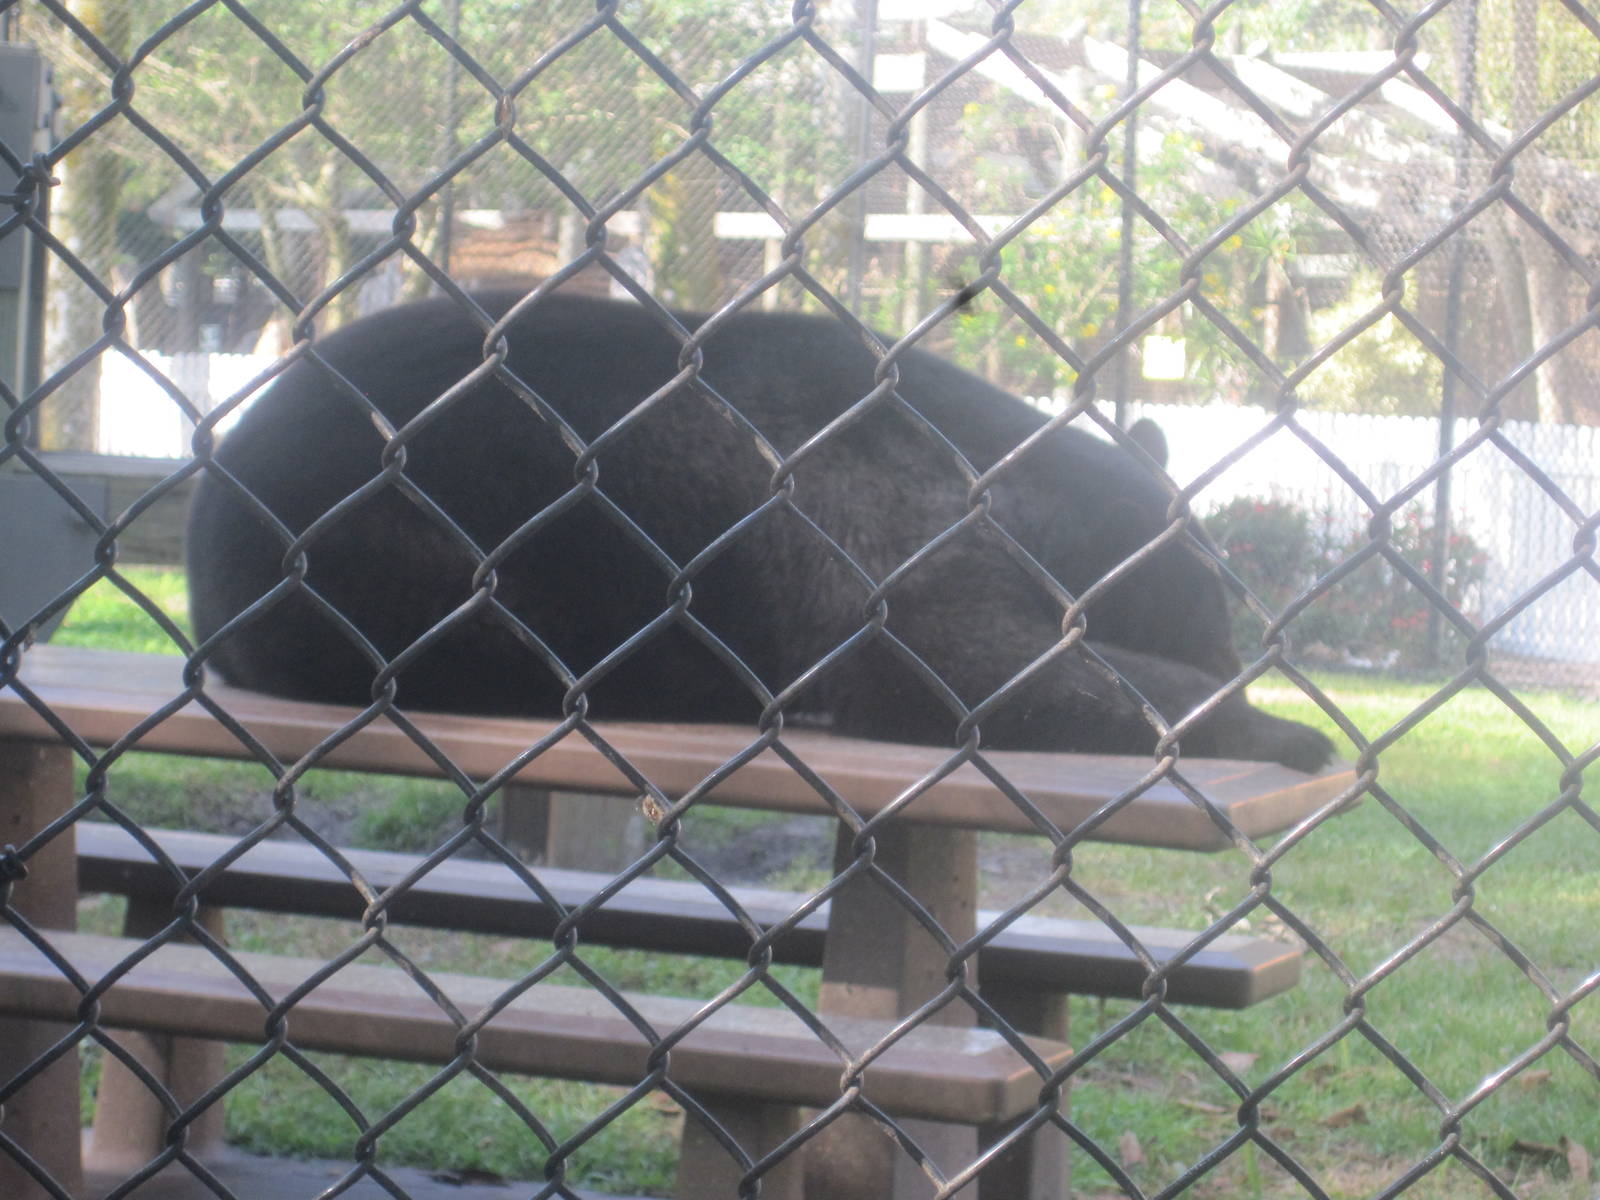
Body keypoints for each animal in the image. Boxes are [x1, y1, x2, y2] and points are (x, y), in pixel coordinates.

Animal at [186, 289, 1333, 772]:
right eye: (1207, 602)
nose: (1234, 649)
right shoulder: (902, 584)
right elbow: (1019, 674)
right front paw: (1282, 729)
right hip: (419, 557)